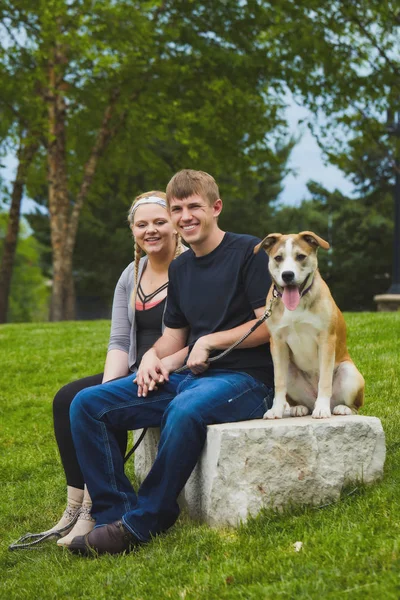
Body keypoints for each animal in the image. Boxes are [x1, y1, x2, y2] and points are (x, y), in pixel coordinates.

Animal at [255, 232, 364, 420]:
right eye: (278, 258)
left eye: (300, 256)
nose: (287, 275)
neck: (298, 302)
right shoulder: (277, 343)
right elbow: (279, 382)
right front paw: (275, 410)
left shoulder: (326, 340)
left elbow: (325, 380)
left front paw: (322, 409)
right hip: (291, 370)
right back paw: (299, 408)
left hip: (349, 371)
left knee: (354, 406)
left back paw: (341, 408)